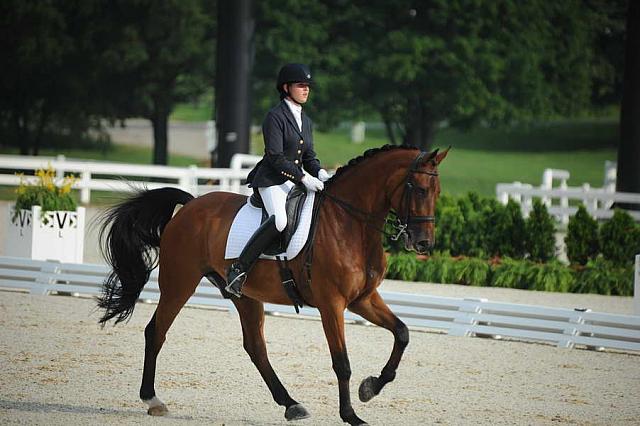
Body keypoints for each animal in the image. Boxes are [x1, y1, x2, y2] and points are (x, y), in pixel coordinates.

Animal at [97, 144, 448, 426]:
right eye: (419, 189)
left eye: (438, 192)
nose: (423, 243)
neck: (350, 224)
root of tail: (191, 205)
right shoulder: (331, 304)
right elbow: (342, 362)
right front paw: (351, 415)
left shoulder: (363, 298)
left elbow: (402, 333)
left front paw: (370, 388)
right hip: (179, 283)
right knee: (155, 332)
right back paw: (152, 399)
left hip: (245, 296)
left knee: (255, 347)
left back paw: (291, 405)